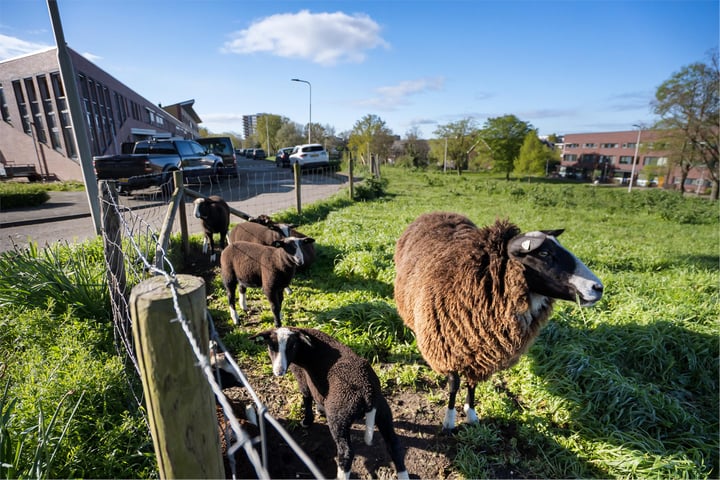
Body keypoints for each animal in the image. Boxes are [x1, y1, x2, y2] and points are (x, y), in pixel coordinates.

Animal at [250, 326, 408, 480]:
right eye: (271, 346)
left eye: (292, 346)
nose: (279, 371)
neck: (304, 349)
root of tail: (368, 392)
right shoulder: (317, 383)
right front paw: (320, 409)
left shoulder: (303, 378)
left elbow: (306, 397)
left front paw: (307, 421)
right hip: (383, 411)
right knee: (394, 444)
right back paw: (403, 475)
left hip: (339, 415)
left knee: (346, 452)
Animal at [394, 212, 600, 430]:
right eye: (544, 253)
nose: (598, 287)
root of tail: (437, 212)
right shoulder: (446, 349)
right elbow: (453, 384)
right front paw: (449, 420)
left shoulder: (480, 353)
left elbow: (472, 383)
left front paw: (471, 413)